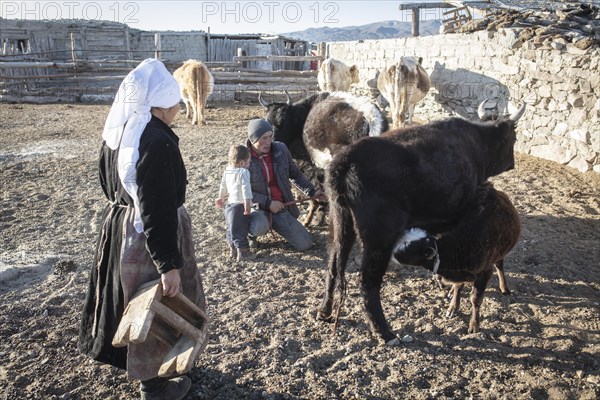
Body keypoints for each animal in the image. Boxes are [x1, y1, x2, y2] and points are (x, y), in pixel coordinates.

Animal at [318, 104, 524, 346]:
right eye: (513, 136)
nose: (512, 163)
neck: (475, 142)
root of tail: (345, 160)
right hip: (380, 239)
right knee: (367, 281)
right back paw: (386, 333)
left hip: (340, 224)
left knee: (333, 264)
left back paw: (324, 311)